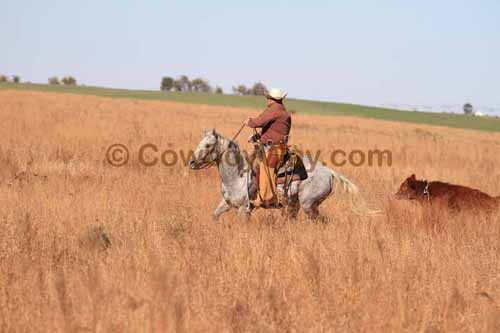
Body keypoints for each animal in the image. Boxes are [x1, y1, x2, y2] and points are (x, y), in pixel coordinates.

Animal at [188, 130, 368, 220]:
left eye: (208, 145)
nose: (191, 162)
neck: (238, 176)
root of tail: (329, 171)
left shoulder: (243, 209)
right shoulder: (226, 203)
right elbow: (214, 215)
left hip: (309, 205)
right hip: (296, 205)